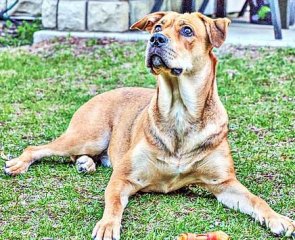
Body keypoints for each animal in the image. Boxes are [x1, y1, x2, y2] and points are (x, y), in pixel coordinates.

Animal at [4, 11, 295, 240]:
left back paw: (85, 163)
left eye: (187, 30)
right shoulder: (123, 177)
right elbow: (113, 203)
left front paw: (278, 218)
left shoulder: (224, 183)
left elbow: (256, 199)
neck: (180, 112)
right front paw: (108, 226)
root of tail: (102, 93)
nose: (155, 39)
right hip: (88, 135)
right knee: (38, 149)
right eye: (157, 27)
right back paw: (19, 164)